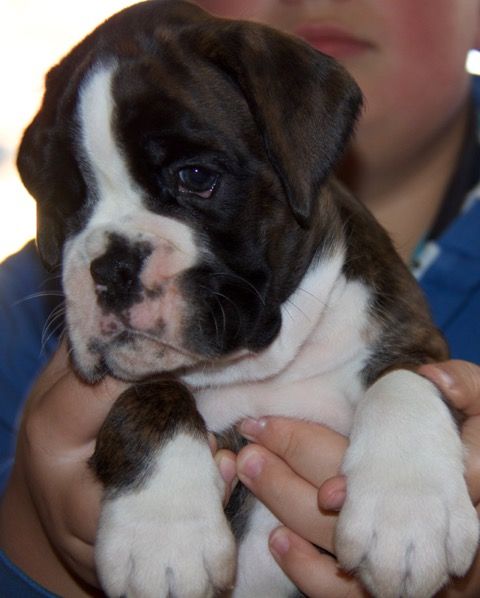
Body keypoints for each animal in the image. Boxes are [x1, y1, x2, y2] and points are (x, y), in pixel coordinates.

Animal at [16, 1, 478, 598]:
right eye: (63, 199)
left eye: (196, 176)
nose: (112, 265)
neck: (262, 367)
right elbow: (151, 397)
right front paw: (163, 537)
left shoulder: (414, 336)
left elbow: (407, 378)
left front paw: (407, 513)